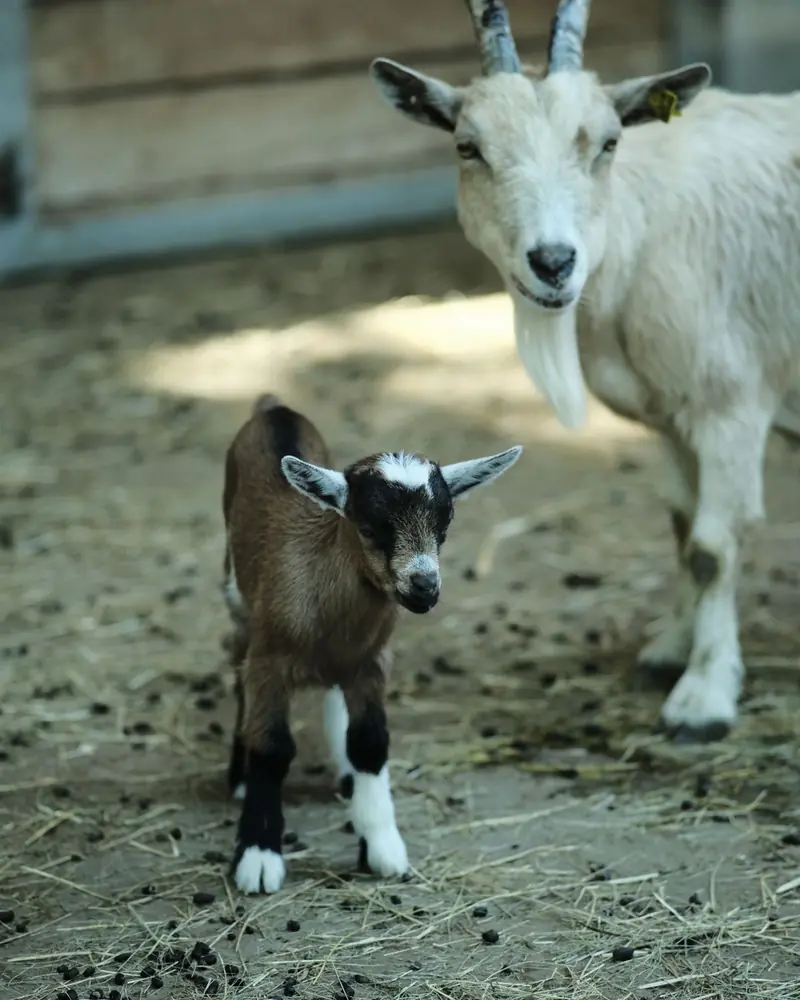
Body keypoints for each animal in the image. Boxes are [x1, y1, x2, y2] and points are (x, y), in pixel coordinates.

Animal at [222, 393, 522, 893]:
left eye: (444, 525)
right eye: (369, 526)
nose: (424, 586)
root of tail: (273, 407)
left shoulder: (371, 662)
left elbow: (371, 742)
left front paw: (382, 844)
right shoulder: (269, 660)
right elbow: (272, 747)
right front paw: (259, 856)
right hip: (235, 593)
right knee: (235, 660)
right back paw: (238, 774)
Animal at [370, 0, 800, 743]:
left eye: (608, 143)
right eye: (467, 146)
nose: (553, 262)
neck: (638, 231)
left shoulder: (730, 405)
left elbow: (715, 543)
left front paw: (703, 697)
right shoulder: (671, 415)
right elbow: (682, 526)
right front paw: (670, 649)